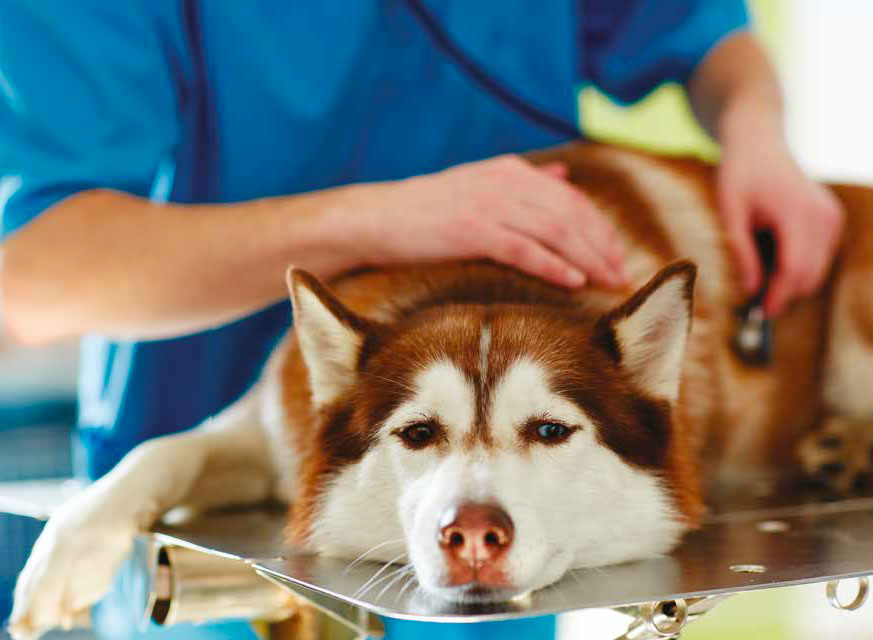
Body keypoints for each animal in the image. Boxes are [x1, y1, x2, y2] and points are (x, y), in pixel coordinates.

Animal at [8, 142, 872, 636]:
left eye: (549, 431)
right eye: (417, 433)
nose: (474, 535)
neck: (481, 277)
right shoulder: (272, 428)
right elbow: (161, 451)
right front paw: (66, 555)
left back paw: (846, 446)